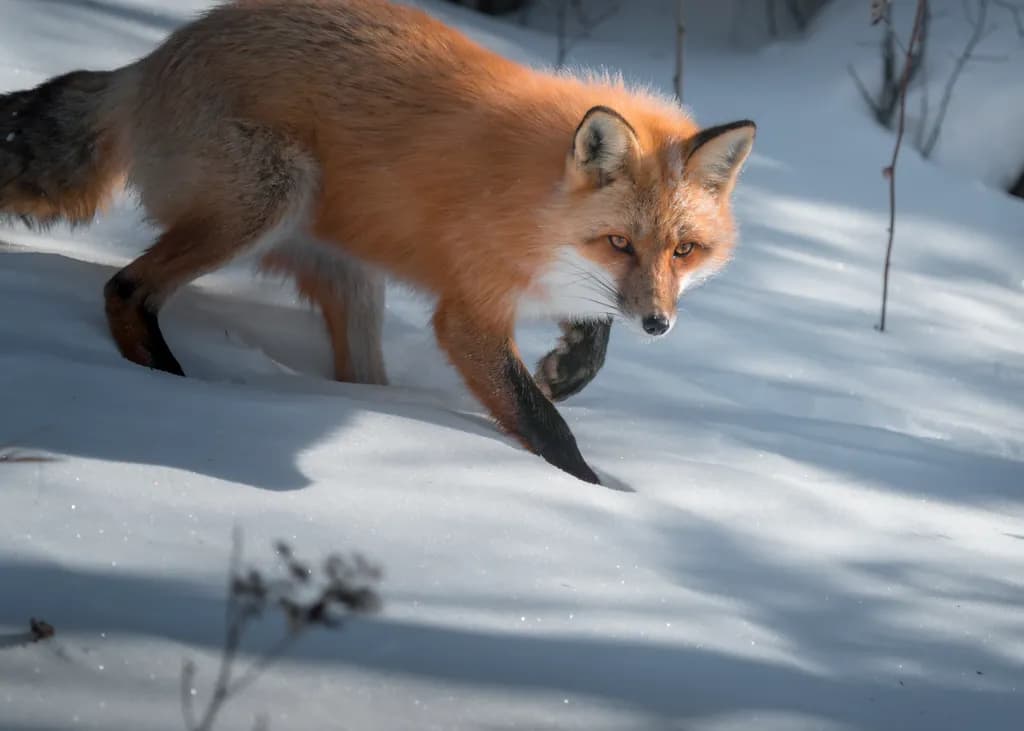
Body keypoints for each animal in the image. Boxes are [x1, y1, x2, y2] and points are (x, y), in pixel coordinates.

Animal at [0, 0, 755, 485]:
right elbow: (544, 425)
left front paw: (569, 365)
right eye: (620, 241)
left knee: (355, 377)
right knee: (125, 288)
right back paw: (171, 387)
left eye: (683, 251)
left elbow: (588, 345)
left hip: (353, 282)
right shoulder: (468, 314)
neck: (535, 201)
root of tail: (150, 60)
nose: (658, 324)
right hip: (268, 198)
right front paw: (590, 490)